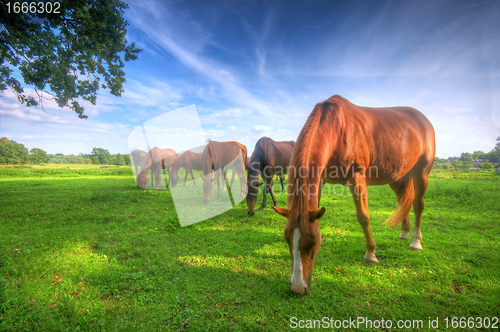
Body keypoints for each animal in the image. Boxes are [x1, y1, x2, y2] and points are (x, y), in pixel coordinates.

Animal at [272, 95, 436, 294]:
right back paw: (404, 232)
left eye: (312, 242)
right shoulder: (320, 181)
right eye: (287, 239)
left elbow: (363, 217)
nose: (297, 287)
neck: (337, 130)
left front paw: (370, 254)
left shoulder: (357, 178)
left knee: (418, 205)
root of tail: (423, 120)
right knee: (404, 201)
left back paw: (415, 242)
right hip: (398, 176)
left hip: (421, 172)